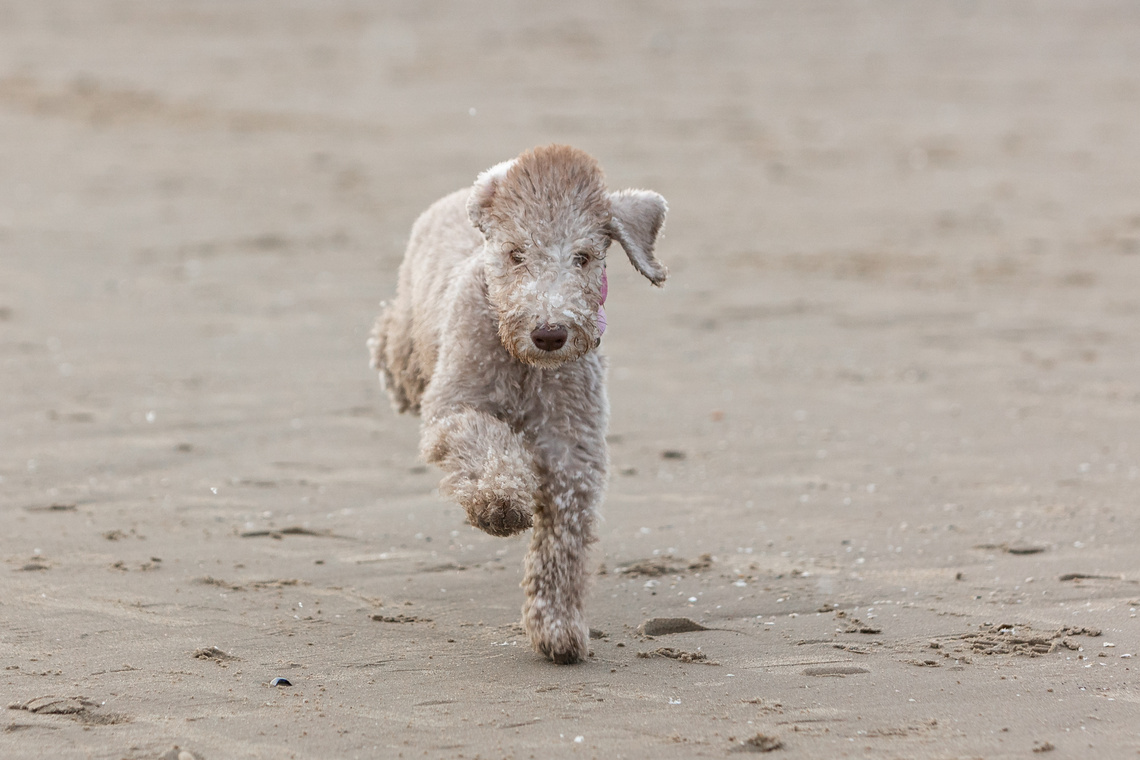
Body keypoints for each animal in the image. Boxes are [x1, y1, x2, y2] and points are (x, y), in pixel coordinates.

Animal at [369, 144, 665, 665]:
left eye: (584, 257)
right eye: (516, 253)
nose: (549, 333)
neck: (526, 366)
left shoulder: (573, 448)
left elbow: (562, 540)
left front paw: (557, 628)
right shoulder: (453, 408)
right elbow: (483, 441)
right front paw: (500, 503)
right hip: (407, 340)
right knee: (391, 341)